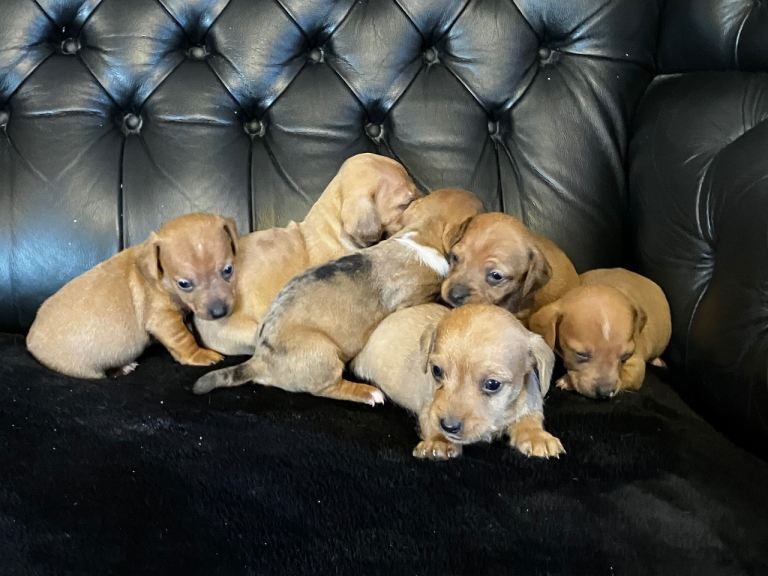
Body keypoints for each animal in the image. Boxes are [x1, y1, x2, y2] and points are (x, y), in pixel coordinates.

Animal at [27, 213, 238, 379]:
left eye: (228, 270)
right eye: (184, 284)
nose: (219, 312)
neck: (160, 278)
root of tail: (30, 340)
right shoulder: (164, 320)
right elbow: (183, 338)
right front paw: (200, 355)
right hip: (85, 369)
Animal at [192, 188, 485, 404]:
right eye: (479, 215)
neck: (422, 235)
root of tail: (259, 362)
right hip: (325, 353)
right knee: (327, 387)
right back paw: (367, 393)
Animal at [351, 303, 564, 460]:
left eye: (492, 384)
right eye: (436, 371)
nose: (449, 426)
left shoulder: (531, 405)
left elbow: (530, 420)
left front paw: (537, 437)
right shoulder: (429, 408)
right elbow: (432, 423)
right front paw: (440, 442)